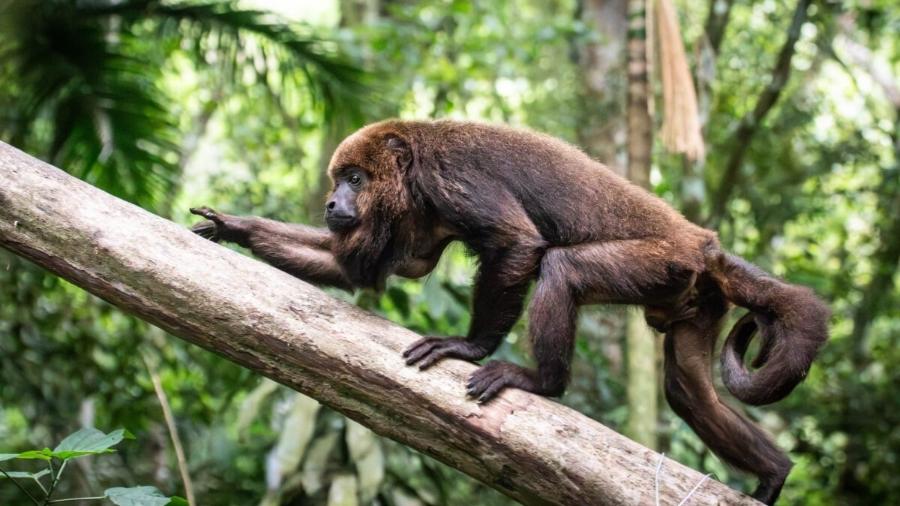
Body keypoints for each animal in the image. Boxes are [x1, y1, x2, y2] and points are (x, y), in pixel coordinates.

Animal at [190, 118, 828, 502]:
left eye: (353, 178)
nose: (331, 202)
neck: (412, 173)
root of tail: (704, 243)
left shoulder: (450, 177)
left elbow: (518, 245)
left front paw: (466, 346)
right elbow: (369, 269)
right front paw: (236, 227)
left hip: (663, 261)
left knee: (562, 269)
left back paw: (541, 381)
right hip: (693, 297)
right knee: (688, 389)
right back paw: (774, 473)